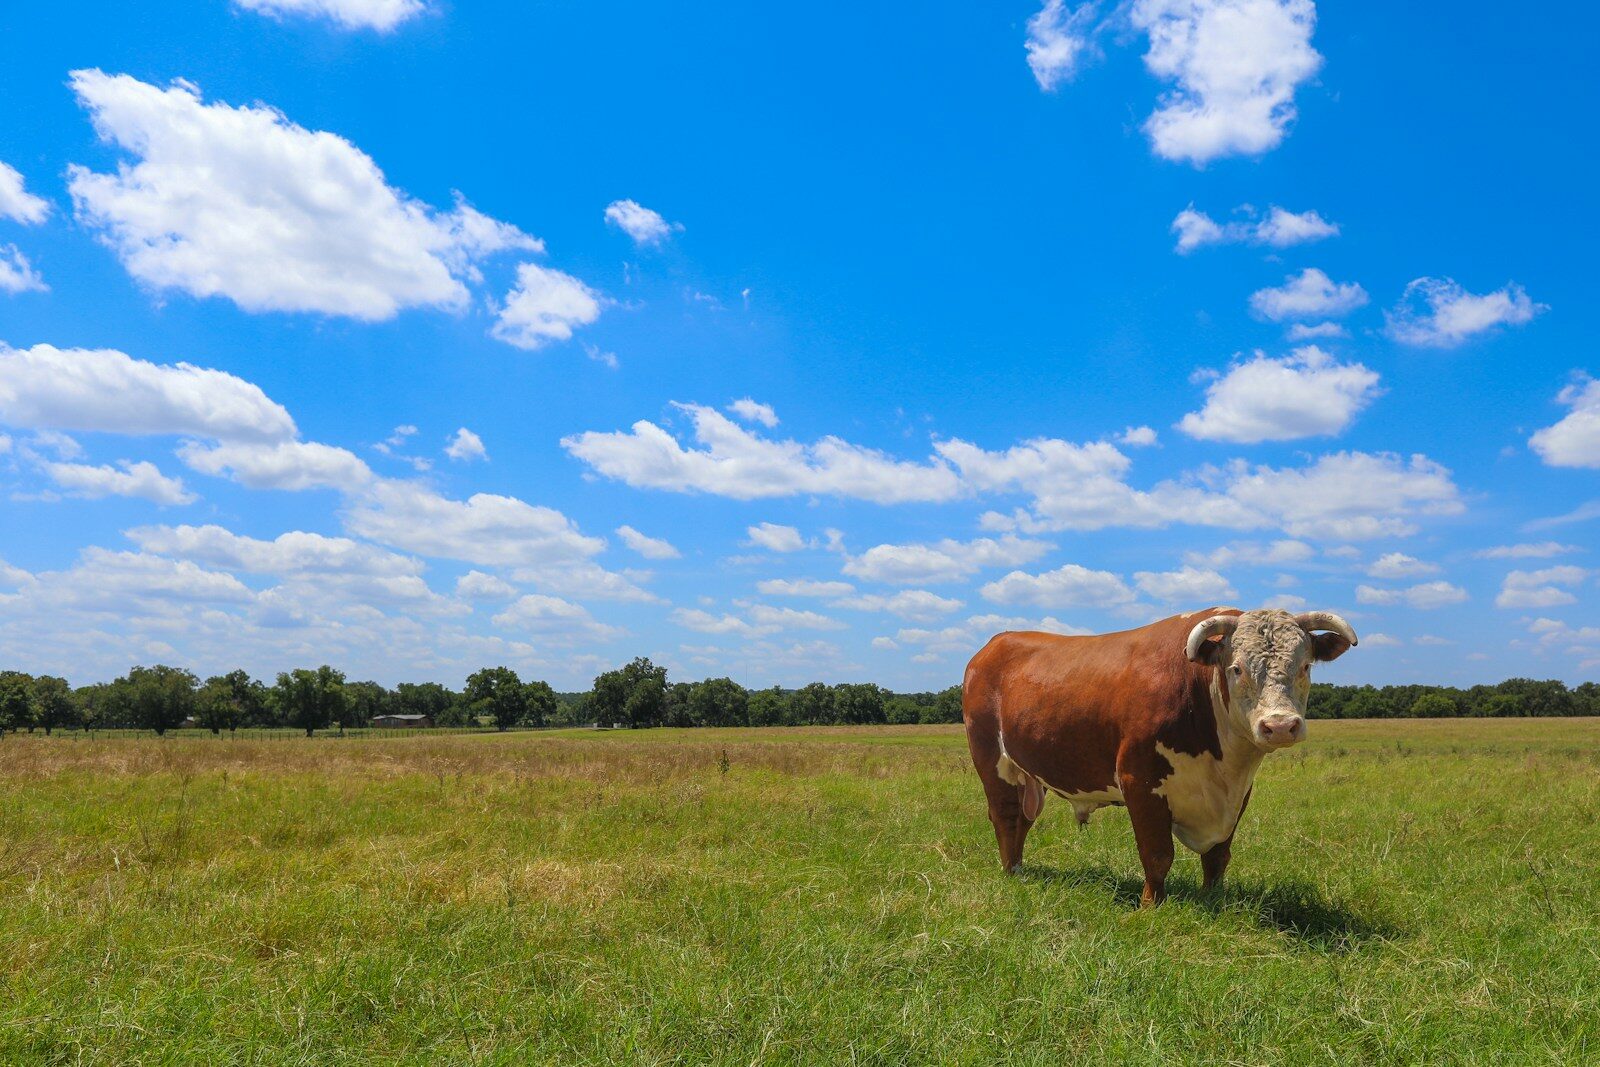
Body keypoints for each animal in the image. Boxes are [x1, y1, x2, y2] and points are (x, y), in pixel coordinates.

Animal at [961, 607, 1357, 905]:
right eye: (1237, 668)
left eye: (1305, 666)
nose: (1280, 725)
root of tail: (995, 644)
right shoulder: (1140, 782)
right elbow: (1157, 854)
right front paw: (1150, 905)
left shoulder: (1238, 794)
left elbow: (1217, 856)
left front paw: (1214, 899)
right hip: (991, 759)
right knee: (1006, 815)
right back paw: (1012, 873)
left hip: (1029, 772)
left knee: (1023, 820)